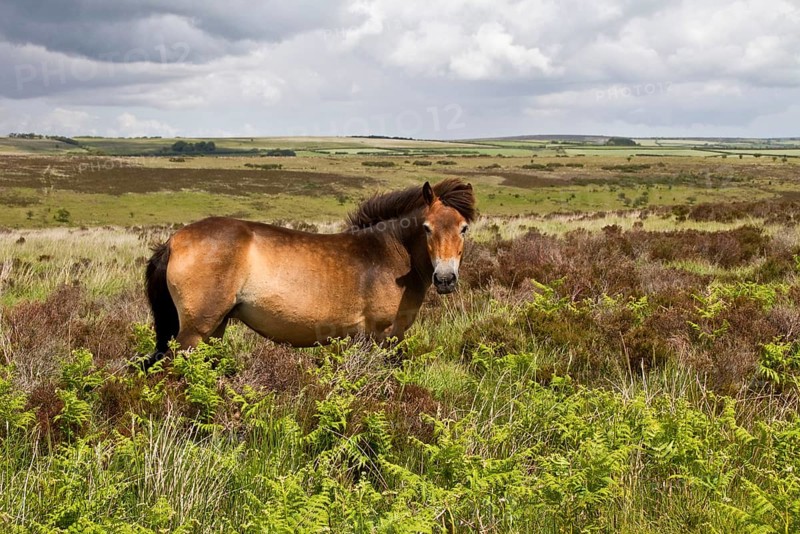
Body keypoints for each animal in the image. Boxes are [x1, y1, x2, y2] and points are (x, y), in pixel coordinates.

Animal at [141, 178, 476, 368]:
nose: (445, 279)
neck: (388, 253)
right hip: (194, 333)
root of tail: (172, 241)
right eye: (427, 228)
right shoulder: (381, 336)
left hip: (214, 329)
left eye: (463, 228)